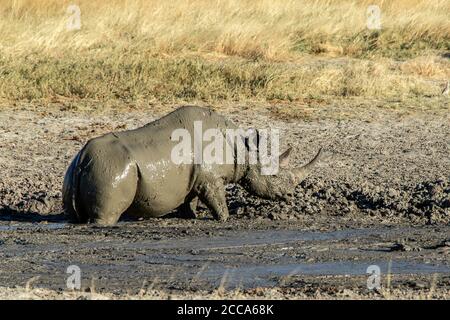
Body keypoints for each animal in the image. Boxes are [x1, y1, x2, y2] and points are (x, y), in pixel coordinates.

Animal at [63, 105, 324, 225]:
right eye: (274, 177)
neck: (243, 150)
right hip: (112, 169)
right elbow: (217, 201)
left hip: (78, 167)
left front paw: (191, 216)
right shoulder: (211, 179)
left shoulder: (196, 177)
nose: (288, 195)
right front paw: (225, 219)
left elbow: (191, 200)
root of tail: (84, 157)